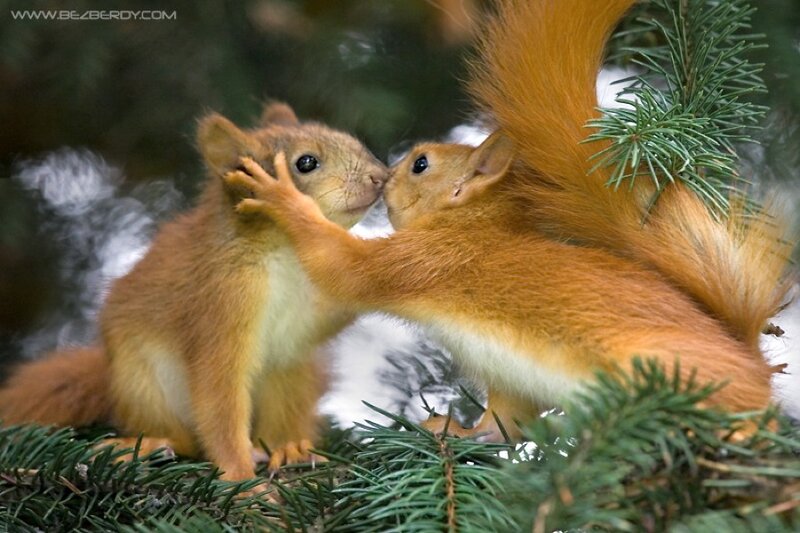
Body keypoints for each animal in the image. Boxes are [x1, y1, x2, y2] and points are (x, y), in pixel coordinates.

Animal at [0, 102, 387, 482]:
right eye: (306, 163)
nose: (380, 177)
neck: (287, 253)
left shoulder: (313, 307)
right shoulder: (220, 302)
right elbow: (219, 397)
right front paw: (241, 480)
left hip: (294, 372)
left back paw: (289, 447)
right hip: (143, 382)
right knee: (185, 438)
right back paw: (151, 444)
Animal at [222, 0, 794, 441]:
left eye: (421, 164)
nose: (382, 176)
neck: (473, 225)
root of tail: (749, 360)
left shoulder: (424, 259)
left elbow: (344, 267)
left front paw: (281, 196)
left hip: (669, 369)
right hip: (514, 380)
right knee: (503, 427)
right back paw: (457, 431)